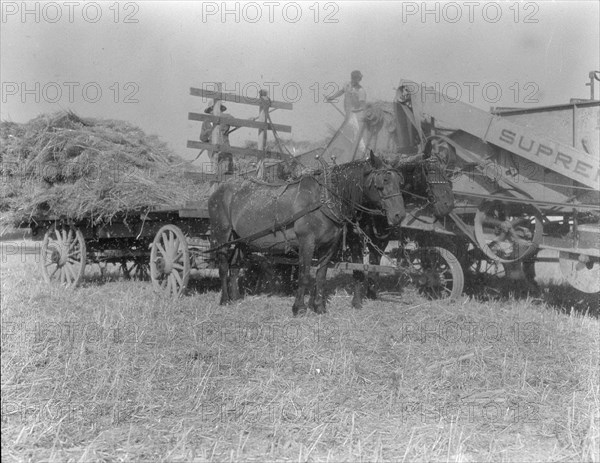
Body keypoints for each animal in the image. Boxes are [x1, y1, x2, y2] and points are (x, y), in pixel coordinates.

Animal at [207, 154, 408, 318]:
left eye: (400, 181)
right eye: (383, 180)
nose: (399, 215)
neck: (323, 200)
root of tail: (220, 188)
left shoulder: (329, 246)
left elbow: (321, 276)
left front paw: (319, 307)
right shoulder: (307, 242)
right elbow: (304, 275)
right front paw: (299, 308)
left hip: (242, 240)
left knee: (235, 265)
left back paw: (236, 298)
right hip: (222, 234)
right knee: (224, 266)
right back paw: (225, 299)